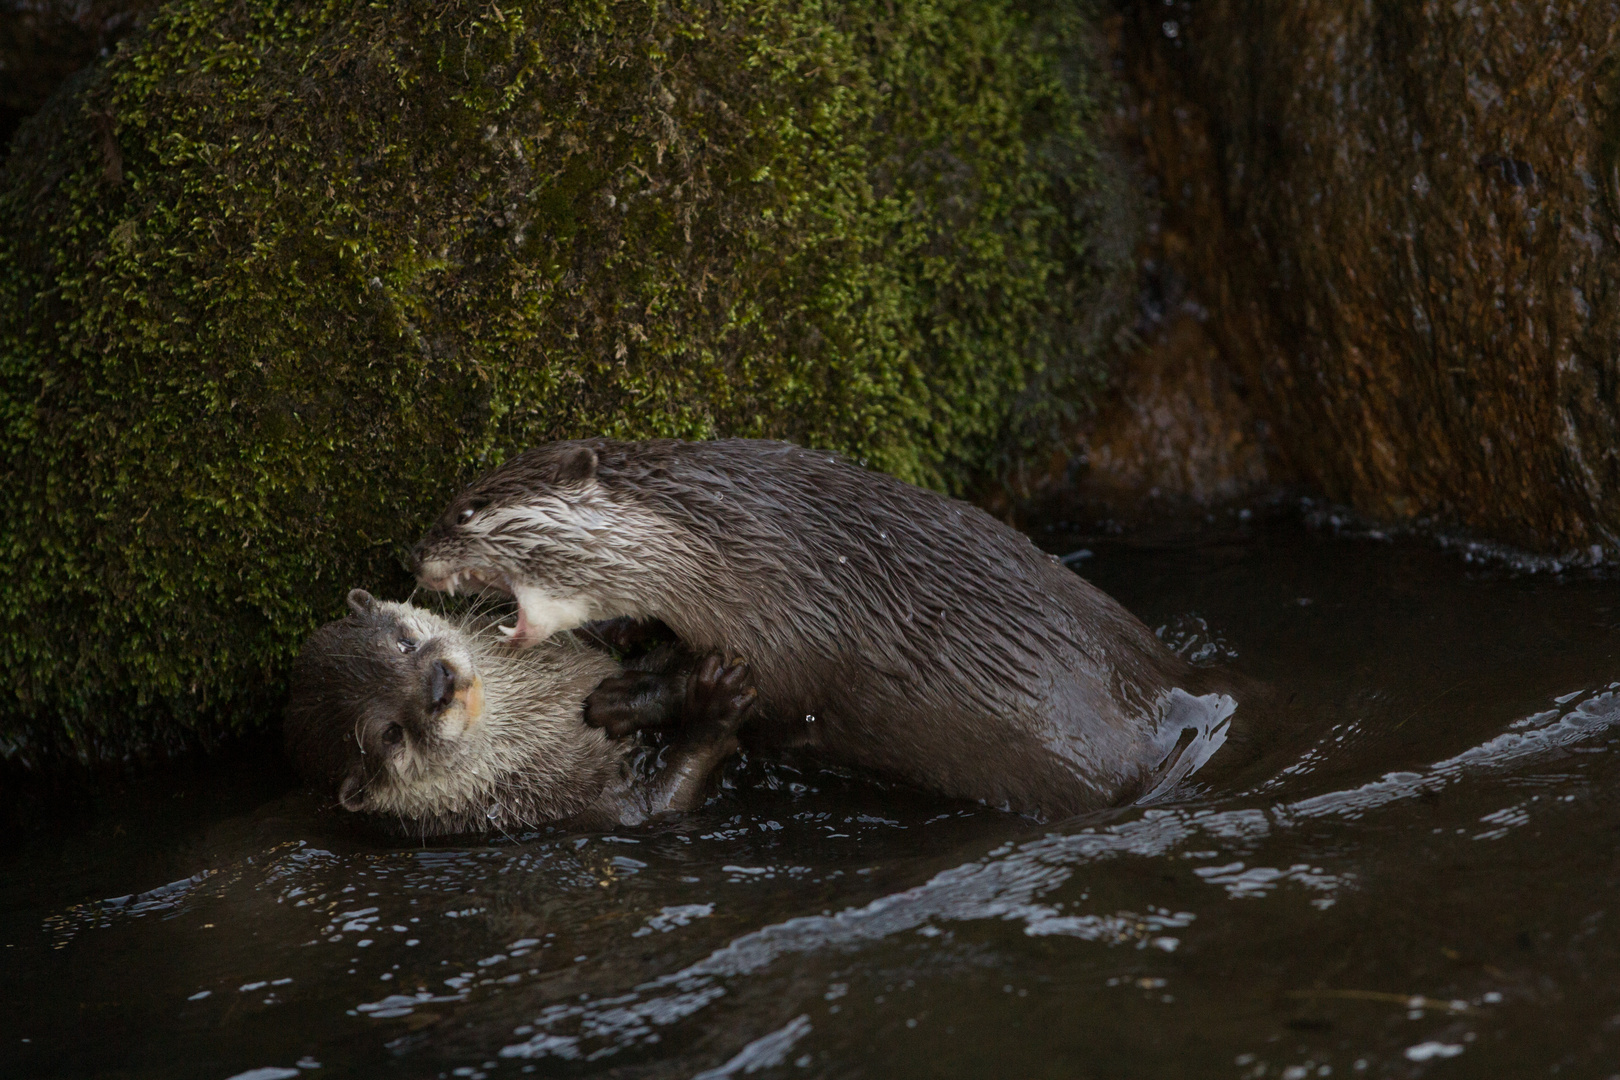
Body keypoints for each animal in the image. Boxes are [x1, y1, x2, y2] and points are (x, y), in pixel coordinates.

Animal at [283, 592, 751, 835]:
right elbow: (661, 803)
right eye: (391, 734)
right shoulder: (570, 811)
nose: (441, 685)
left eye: (404, 644)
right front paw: (712, 709)